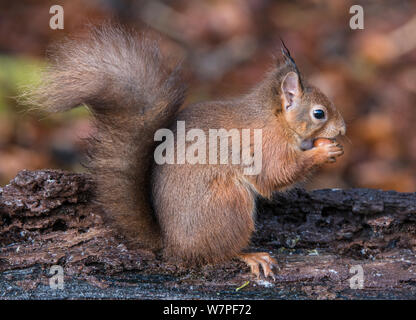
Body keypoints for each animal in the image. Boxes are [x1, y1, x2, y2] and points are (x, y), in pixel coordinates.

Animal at [29, 25, 346, 278]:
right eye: (319, 113)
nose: (342, 128)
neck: (274, 119)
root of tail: (173, 246)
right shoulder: (265, 148)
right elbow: (276, 175)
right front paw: (323, 151)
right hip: (229, 205)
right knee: (218, 254)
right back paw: (250, 255)